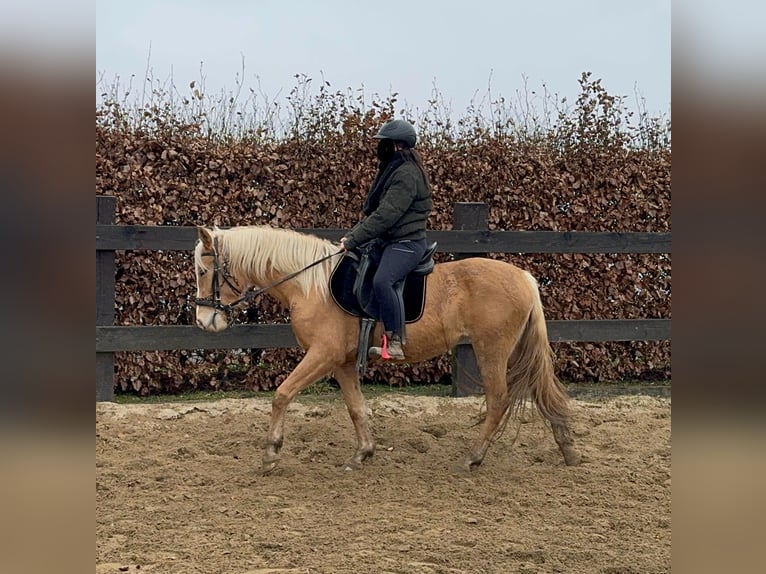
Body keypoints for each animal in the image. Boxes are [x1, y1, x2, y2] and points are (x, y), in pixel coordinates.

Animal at [194, 227, 584, 474]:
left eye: (202, 270)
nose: (203, 321)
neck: (310, 285)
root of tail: (525, 278)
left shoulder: (322, 355)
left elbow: (281, 394)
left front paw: (271, 453)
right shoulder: (341, 363)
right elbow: (356, 408)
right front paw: (362, 454)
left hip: (492, 350)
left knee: (499, 400)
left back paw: (473, 457)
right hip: (514, 350)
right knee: (541, 391)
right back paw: (567, 449)